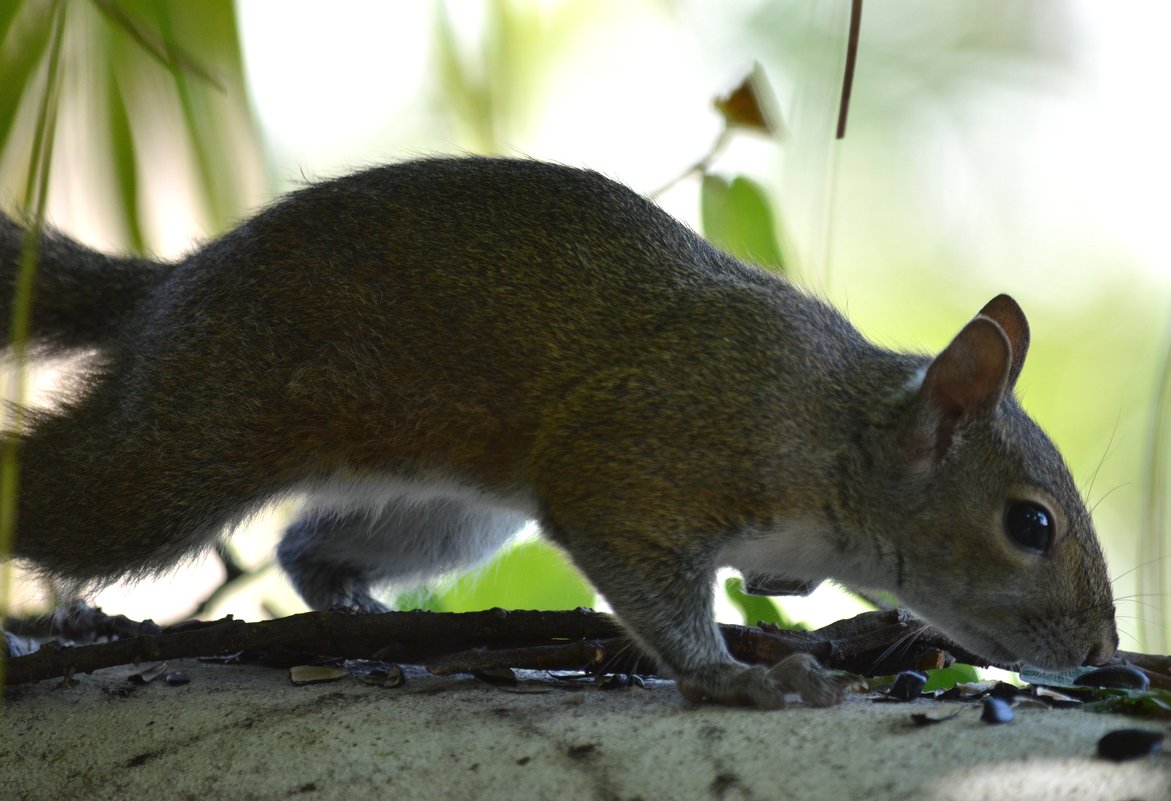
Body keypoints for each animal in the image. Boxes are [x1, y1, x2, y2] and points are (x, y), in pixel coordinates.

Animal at [0, 156, 1114, 707]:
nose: (1103, 652)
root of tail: (170, 287)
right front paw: (730, 676)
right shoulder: (648, 457)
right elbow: (649, 577)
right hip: (193, 433)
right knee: (76, 494)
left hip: (444, 516)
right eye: (1031, 526)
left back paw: (366, 620)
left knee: (307, 545)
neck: (831, 426)